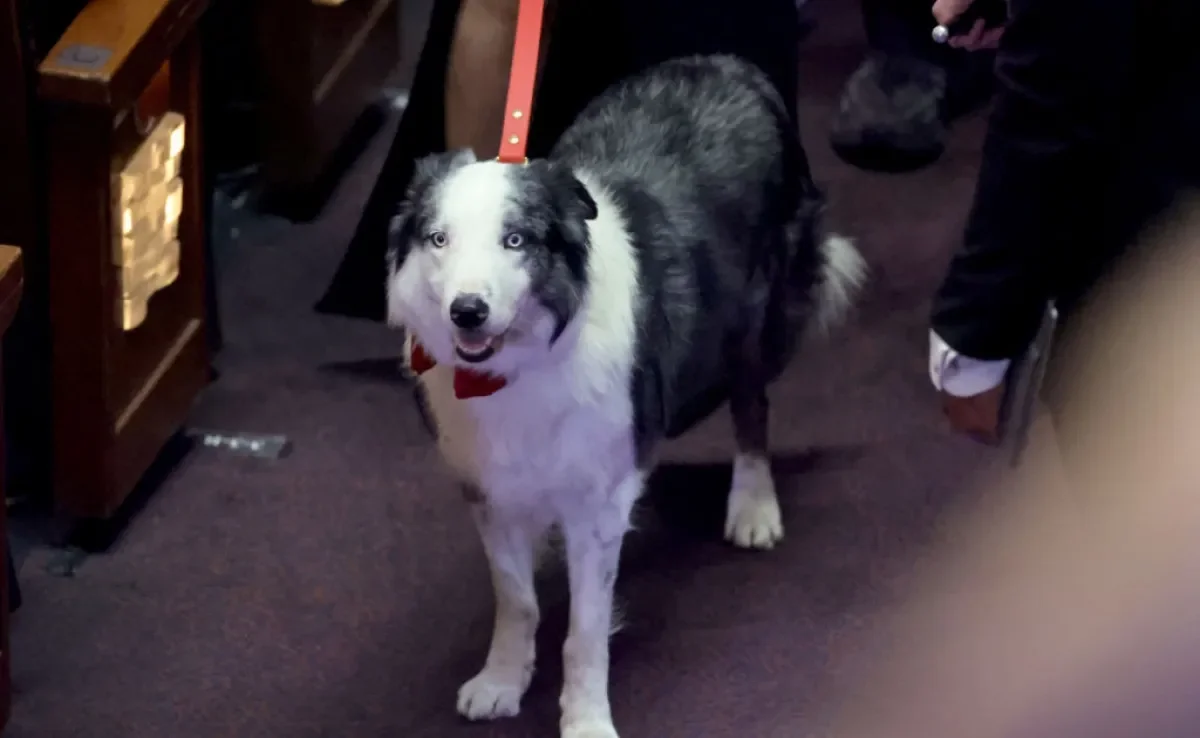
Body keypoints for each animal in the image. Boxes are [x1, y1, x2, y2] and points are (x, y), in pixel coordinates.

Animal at [388, 54, 868, 734]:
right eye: (438, 239)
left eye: (516, 240)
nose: (468, 312)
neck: (524, 364)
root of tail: (729, 63)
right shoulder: (489, 490)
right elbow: (517, 601)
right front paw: (502, 681)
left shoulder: (596, 504)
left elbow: (585, 635)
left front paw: (586, 720)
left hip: (753, 319)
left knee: (752, 407)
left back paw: (752, 507)